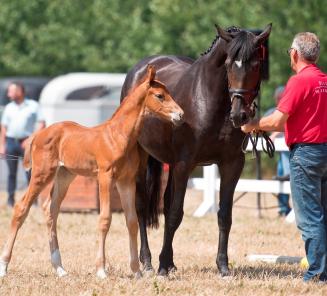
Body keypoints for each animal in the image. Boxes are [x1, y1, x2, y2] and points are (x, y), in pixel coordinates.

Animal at [0, 66, 184, 278]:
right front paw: (101, 270)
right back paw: (4, 266)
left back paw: (60, 268)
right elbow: (105, 219)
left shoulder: (126, 181)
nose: (180, 115)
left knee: (51, 210)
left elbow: (131, 221)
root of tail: (38, 134)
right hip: (42, 174)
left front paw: (137, 272)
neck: (119, 136)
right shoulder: (105, 177)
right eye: (160, 95)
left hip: (64, 175)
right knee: (21, 208)